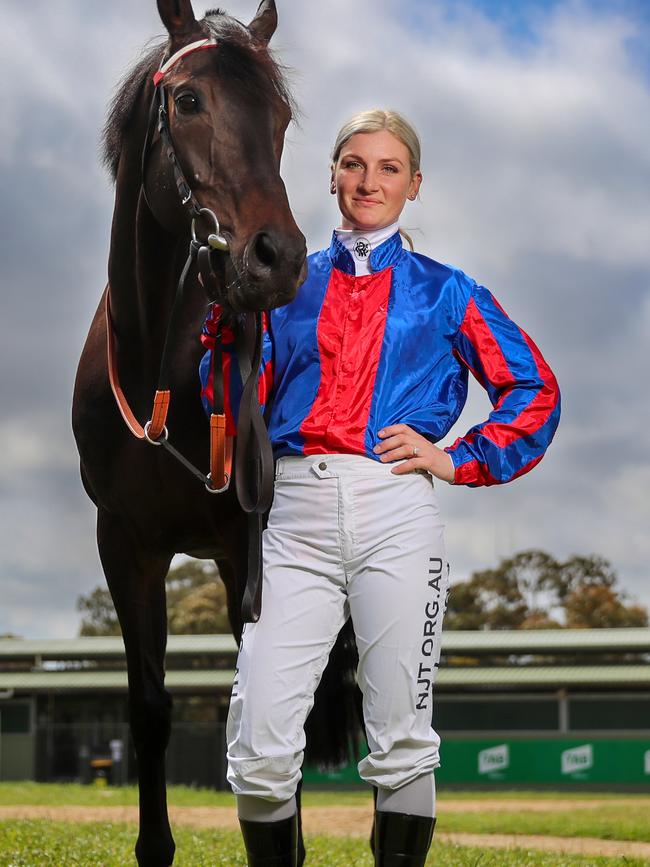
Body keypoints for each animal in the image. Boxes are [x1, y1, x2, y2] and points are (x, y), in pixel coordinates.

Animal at [71, 3, 360, 864]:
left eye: (281, 117)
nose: (277, 257)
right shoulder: (125, 541)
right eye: (190, 100)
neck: (157, 371)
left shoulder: (245, 542)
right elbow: (149, 709)